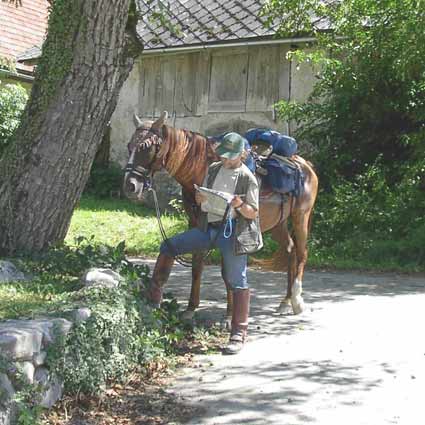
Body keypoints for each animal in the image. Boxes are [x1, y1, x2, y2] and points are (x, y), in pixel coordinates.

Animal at [121, 111, 314, 320]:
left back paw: (296, 299)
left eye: (146, 147)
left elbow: (226, 272)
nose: (130, 186)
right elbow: (197, 265)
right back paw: (285, 301)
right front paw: (191, 308)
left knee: (302, 253)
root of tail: (306, 165)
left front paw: (229, 313)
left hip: (301, 217)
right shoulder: (196, 224)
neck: (201, 170)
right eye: (129, 146)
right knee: (290, 251)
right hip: (278, 224)